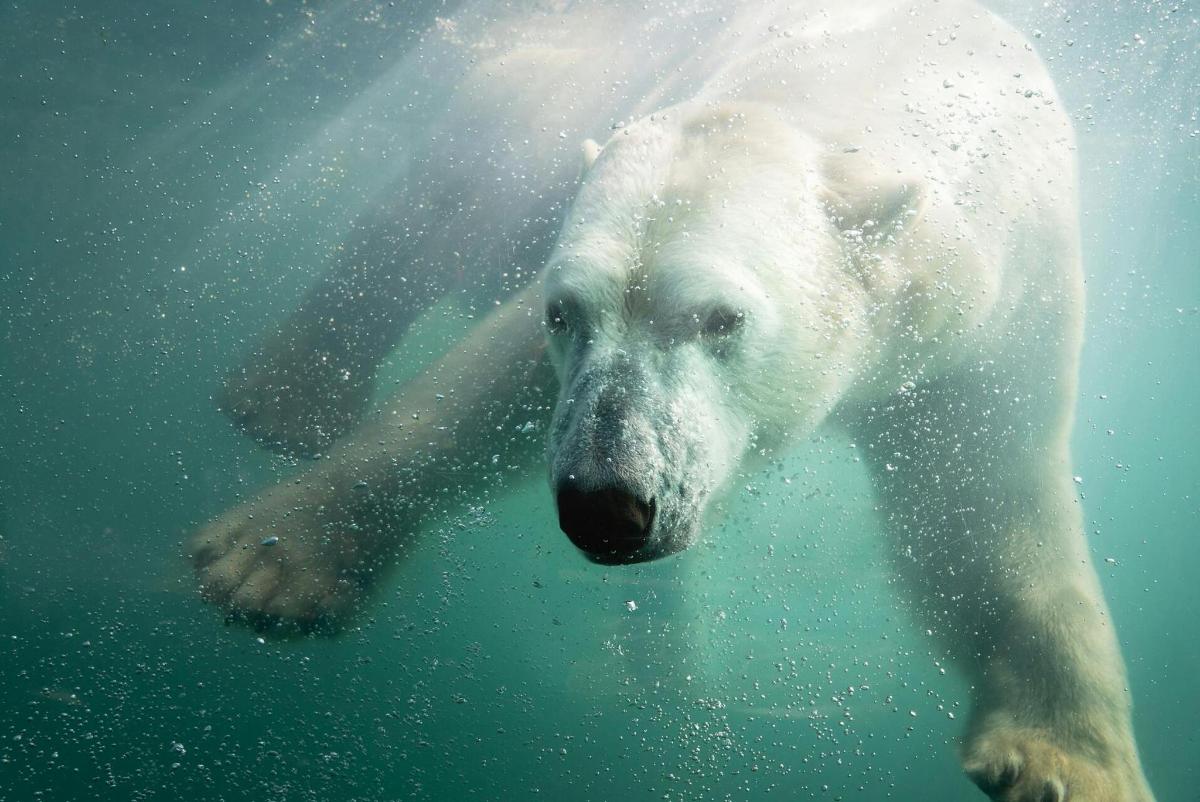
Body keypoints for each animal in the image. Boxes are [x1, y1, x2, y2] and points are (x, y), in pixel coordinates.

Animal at [192, 3, 1156, 797]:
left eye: (722, 318)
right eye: (564, 312)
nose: (605, 505)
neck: (884, 68)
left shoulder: (1002, 315)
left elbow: (983, 514)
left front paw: (1066, 761)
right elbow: (484, 390)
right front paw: (269, 560)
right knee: (441, 214)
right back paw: (283, 398)